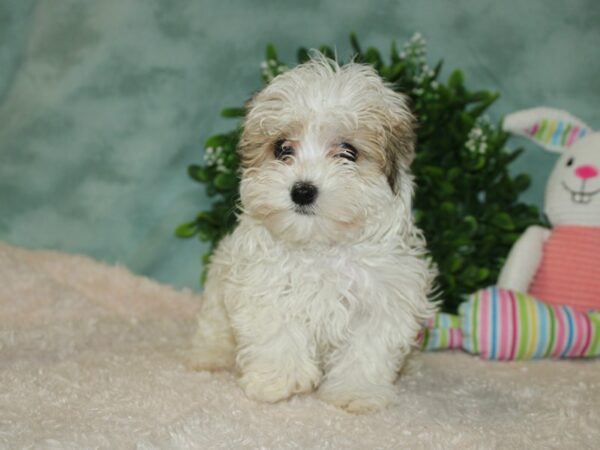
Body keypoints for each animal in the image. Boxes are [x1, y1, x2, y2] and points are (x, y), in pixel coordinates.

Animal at [190, 51, 438, 412]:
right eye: (282, 149)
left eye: (348, 152)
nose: (303, 190)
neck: (321, 246)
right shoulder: (264, 285)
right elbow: (276, 332)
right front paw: (276, 381)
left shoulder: (383, 297)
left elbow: (366, 351)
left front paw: (356, 391)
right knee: (212, 326)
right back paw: (207, 356)